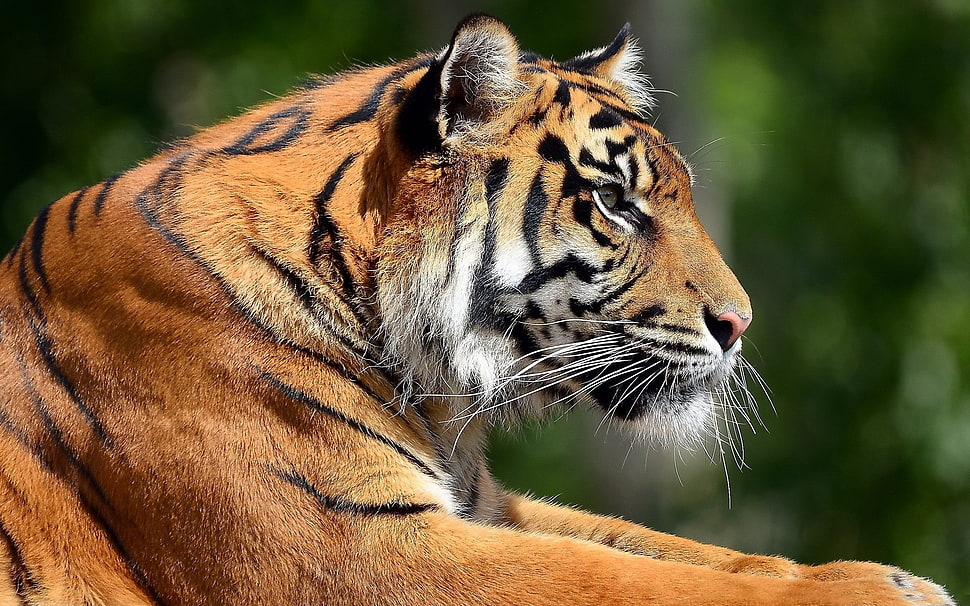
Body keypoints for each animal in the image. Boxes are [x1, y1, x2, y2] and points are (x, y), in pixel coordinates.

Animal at [0, 13, 955, 606]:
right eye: (614, 201)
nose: (739, 324)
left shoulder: (481, 507)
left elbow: (678, 552)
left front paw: (886, 576)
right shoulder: (355, 552)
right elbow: (630, 582)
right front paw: (878, 592)